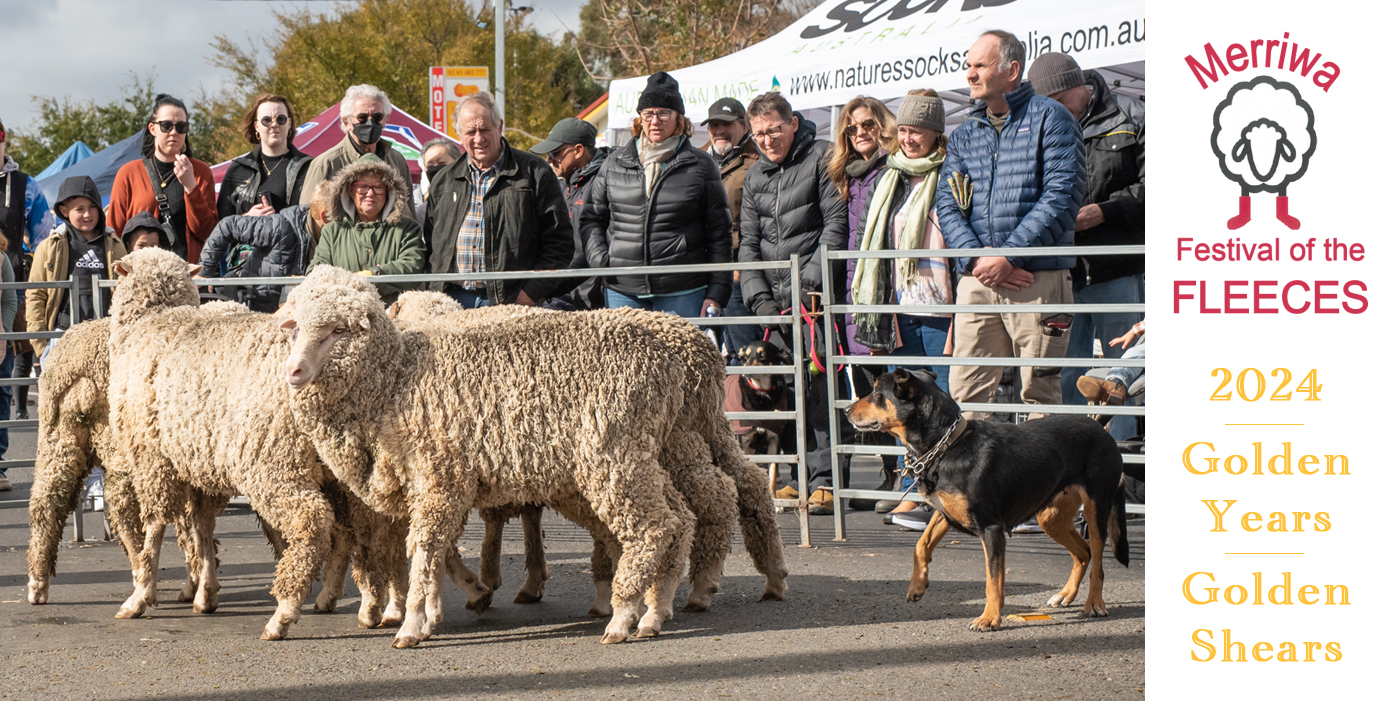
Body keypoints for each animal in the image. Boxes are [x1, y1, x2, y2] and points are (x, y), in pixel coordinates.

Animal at [281, 265, 697, 643]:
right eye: (296, 327)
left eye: (338, 329)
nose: (294, 371)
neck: (394, 381)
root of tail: (668, 365)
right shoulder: (429, 488)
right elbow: (436, 550)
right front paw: (435, 613)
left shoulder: (440, 478)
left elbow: (426, 549)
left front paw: (413, 624)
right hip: (640, 456)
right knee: (681, 518)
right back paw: (655, 610)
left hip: (613, 455)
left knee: (654, 528)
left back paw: (623, 617)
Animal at [840, 369, 1125, 632]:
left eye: (877, 393)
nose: (845, 410)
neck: (947, 446)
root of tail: (1099, 425)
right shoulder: (944, 513)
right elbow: (921, 545)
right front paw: (917, 586)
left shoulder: (991, 529)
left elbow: (993, 580)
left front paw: (989, 619)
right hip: (1051, 517)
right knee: (1083, 553)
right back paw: (1066, 594)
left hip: (1096, 509)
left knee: (1097, 560)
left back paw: (1094, 603)